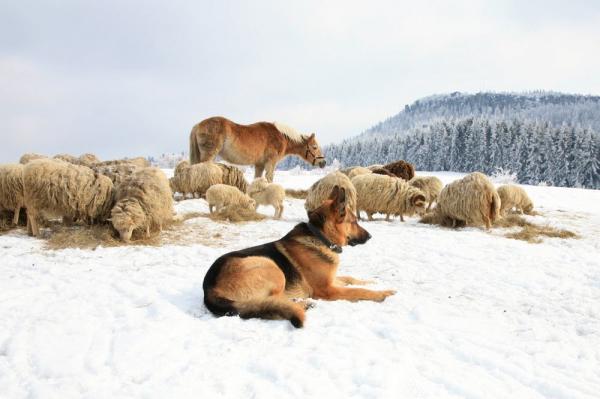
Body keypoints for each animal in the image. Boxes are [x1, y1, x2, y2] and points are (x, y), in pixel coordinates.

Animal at [190, 116, 326, 182]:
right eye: (314, 147)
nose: (323, 162)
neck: (280, 135)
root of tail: (198, 125)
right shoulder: (270, 163)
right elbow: (269, 178)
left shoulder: (259, 165)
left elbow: (257, 179)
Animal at [204, 185, 396, 328]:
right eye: (354, 221)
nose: (370, 236)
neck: (320, 236)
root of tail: (209, 288)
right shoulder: (328, 289)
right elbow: (358, 290)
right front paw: (382, 293)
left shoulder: (332, 280)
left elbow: (351, 278)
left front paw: (371, 282)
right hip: (270, 265)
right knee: (268, 301)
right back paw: (301, 304)